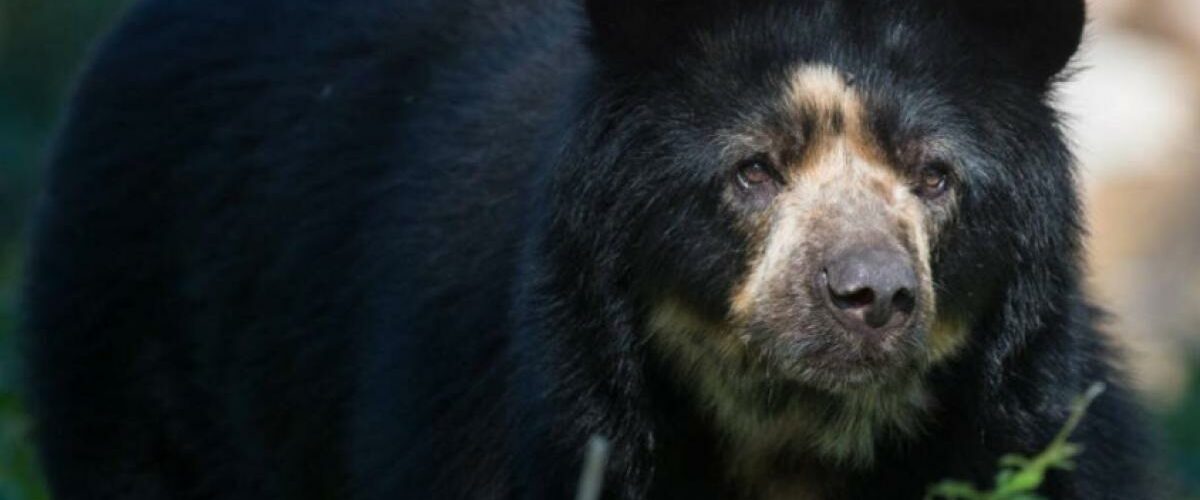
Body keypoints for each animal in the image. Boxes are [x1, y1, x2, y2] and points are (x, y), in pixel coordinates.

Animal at [24, 0, 1156, 498]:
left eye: (935, 178)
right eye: (753, 171)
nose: (869, 294)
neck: (789, 438)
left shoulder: (1035, 419)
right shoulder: (531, 411)